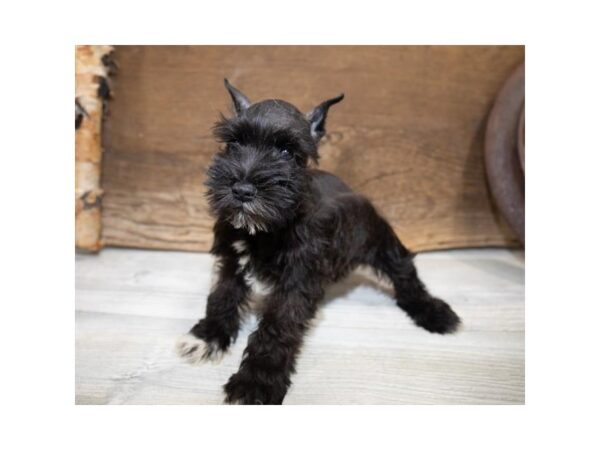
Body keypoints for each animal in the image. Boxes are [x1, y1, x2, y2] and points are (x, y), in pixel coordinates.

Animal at [176, 80, 462, 404]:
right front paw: (206, 337)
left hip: (382, 242)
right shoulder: (231, 260)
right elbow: (222, 296)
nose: (242, 190)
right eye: (234, 143)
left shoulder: (297, 280)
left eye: (287, 151)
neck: (265, 229)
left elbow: (277, 327)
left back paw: (434, 312)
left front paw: (256, 381)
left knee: (405, 274)